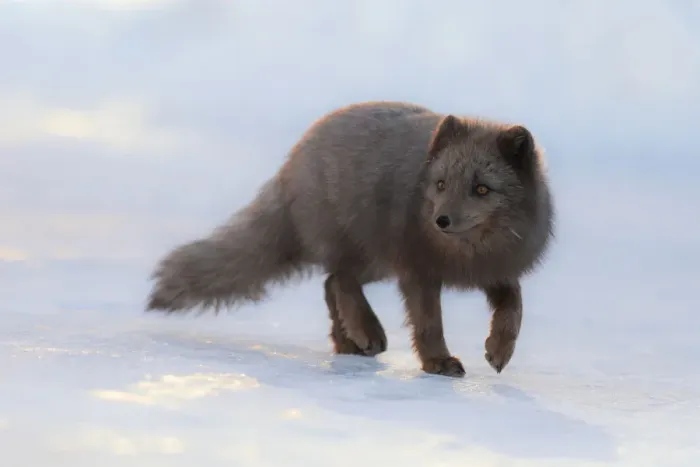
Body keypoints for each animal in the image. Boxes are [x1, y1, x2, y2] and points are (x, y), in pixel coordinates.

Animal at [146, 101, 555, 378]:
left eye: (481, 188)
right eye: (441, 184)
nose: (441, 220)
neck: (467, 255)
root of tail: (293, 158)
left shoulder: (497, 269)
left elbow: (514, 307)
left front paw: (499, 350)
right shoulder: (417, 271)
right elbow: (428, 324)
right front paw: (438, 362)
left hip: (378, 262)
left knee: (330, 283)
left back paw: (348, 342)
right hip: (371, 250)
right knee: (339, 279)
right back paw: (366, 333)